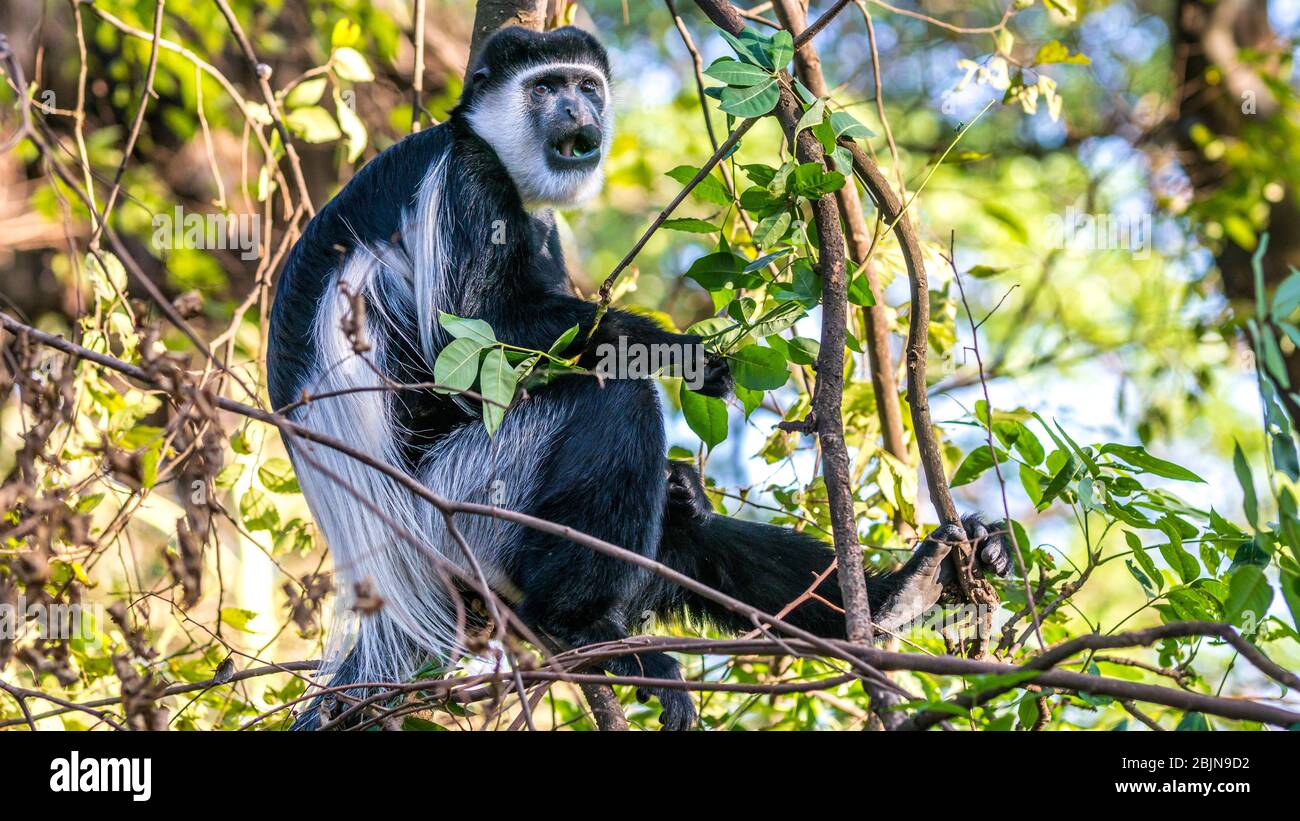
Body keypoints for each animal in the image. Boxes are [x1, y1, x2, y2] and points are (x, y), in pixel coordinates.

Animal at [266, 25, 1013, 732]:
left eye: (586, 87)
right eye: (545, 88)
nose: (576, 109)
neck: (486, 143)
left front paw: (688, 472)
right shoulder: (466, 185)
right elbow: (476, 338)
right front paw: (682, 351)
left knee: (687, 535)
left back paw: (903, 593)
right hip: (461, 507)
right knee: (608, 405)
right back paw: (588, 629)